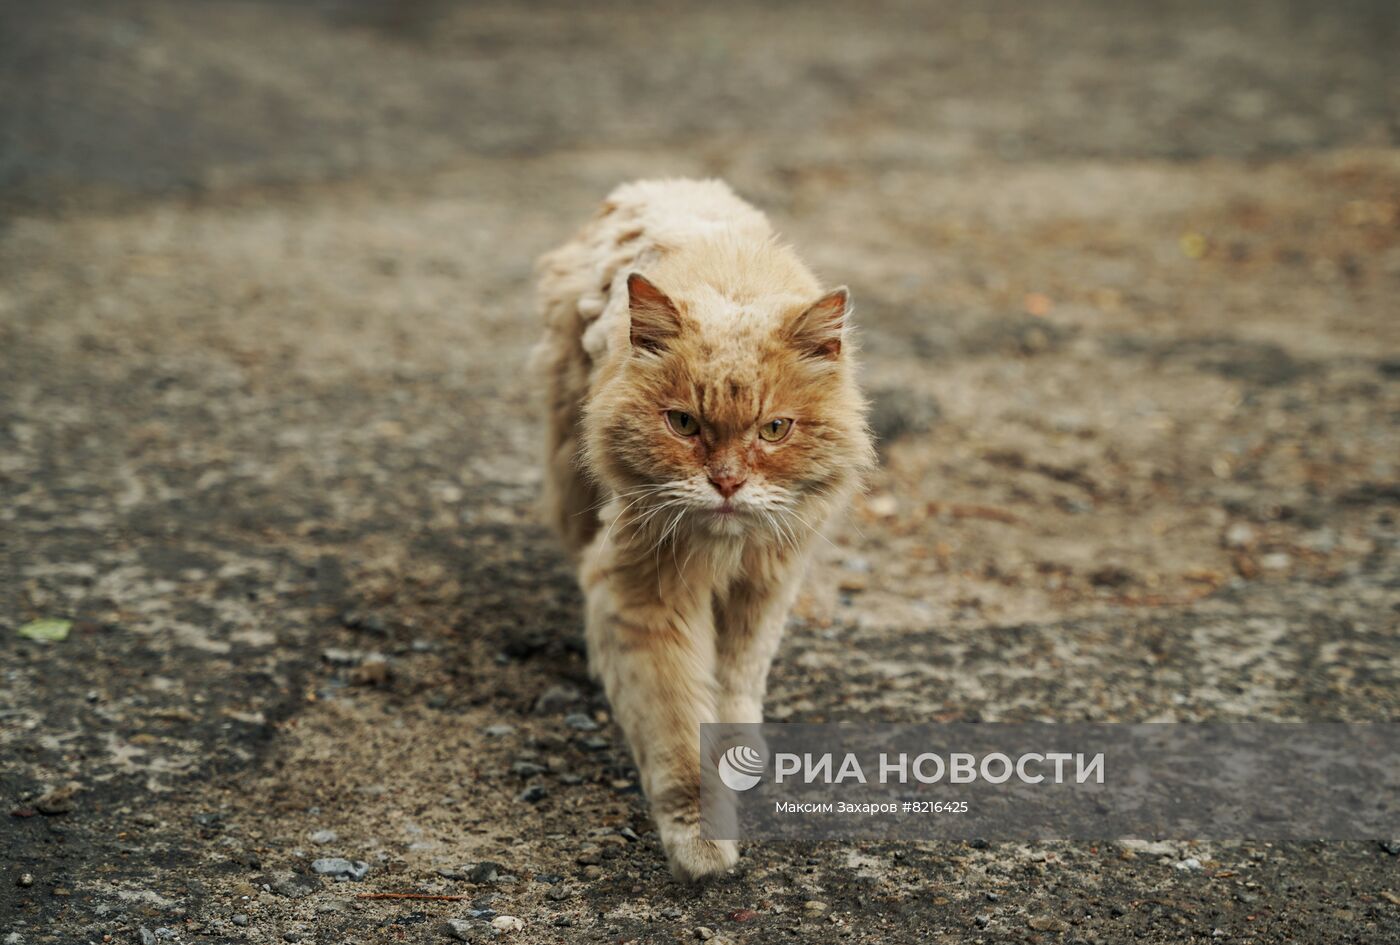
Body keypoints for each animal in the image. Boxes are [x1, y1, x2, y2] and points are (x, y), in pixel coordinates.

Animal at [532, 179, 868, 879]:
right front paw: (702, 847)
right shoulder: (646, 596)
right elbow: (677, 737)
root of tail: (656, 184)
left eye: (775, 429)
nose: (727, 483)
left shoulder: (766, 579)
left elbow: (739, 678)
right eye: (683, 424)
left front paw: (739, 754)